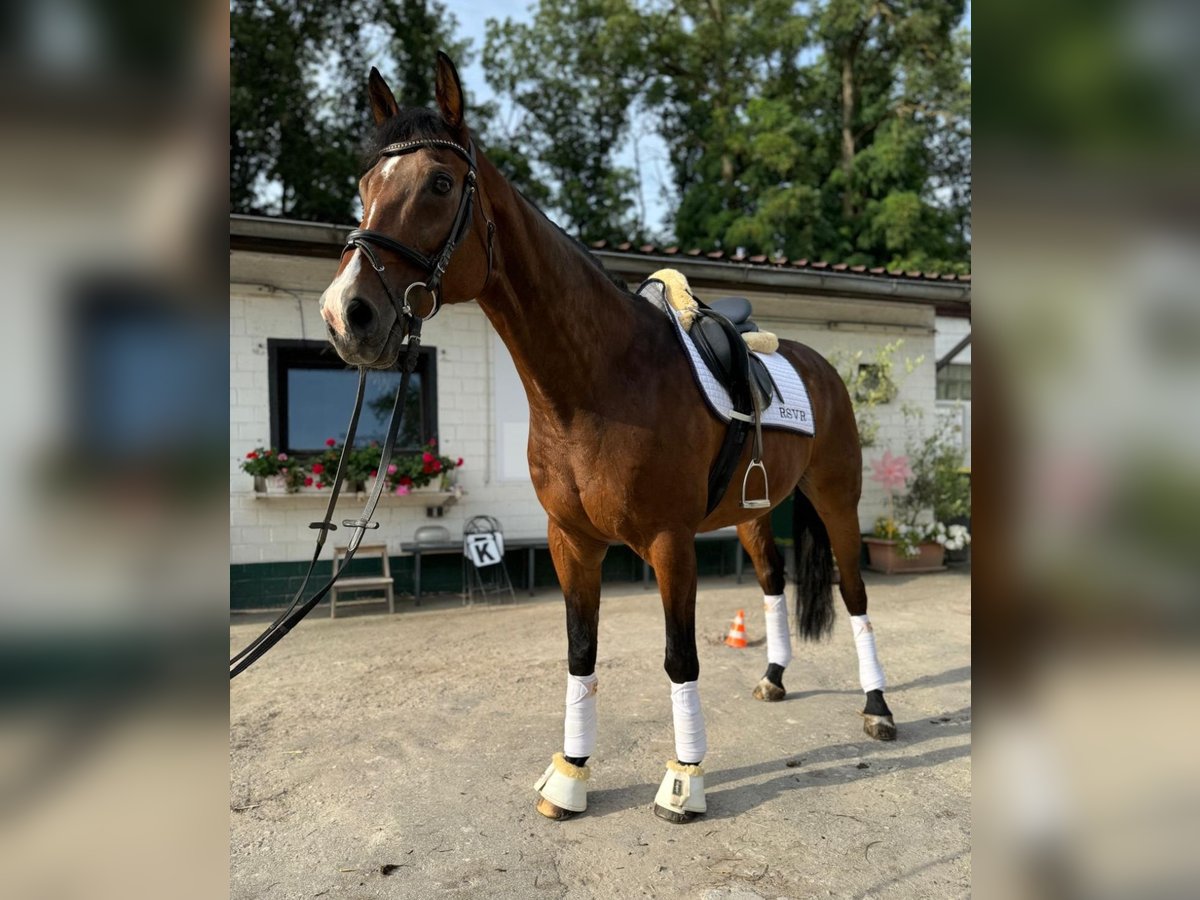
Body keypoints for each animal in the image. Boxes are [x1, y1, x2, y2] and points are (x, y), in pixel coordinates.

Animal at [316, 54, 892, 825]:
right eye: (365, 186)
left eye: (438, 182)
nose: (346, 314)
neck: (600, 383)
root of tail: (821, 365)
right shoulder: (572, 541)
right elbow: (580, 653)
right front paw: (570, 774)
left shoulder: (670, 544)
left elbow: (679, 658)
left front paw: (683, 780)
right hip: (753, 513)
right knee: (773, 581)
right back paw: (773, 676)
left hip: (836, 501)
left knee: (856, 594)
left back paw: (878, 708)